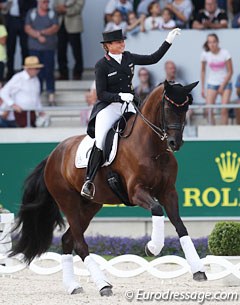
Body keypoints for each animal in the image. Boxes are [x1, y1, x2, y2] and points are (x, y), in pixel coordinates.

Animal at [10, 79, 207, 296]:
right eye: (167, 108)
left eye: (185, 108)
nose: (175, 143)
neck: (153, 147)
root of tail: (53, 155)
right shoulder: (136, 191)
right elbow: (156, 209)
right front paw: (153, 247)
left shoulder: (168, 192)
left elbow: (180, 226)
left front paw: (199, 270)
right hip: (68, 203)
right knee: (80, 243)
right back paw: (103, 285)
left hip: (89, 206)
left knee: (67, 240)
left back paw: (73, 286)